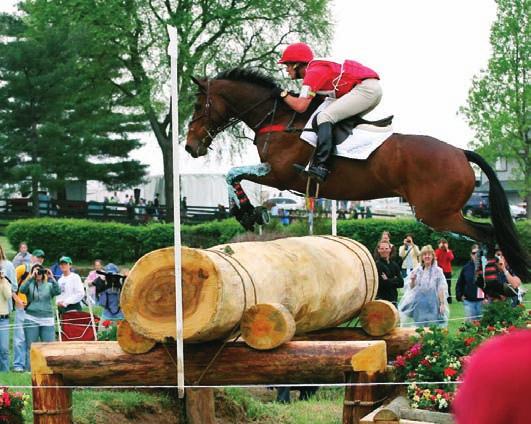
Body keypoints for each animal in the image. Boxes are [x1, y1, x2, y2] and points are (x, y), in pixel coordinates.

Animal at [185, 68, 528, 280]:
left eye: (198, 105)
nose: (190, 147)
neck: (279, 119)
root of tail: (460, 152)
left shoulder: (279, 175)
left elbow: (233, 174)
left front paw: (247, 213)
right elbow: (234, 176)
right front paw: (248, 213)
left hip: (437, 214)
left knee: (486, 234)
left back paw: (491, 286)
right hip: (439, 214)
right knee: (485, 235)